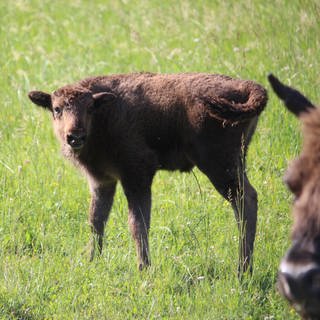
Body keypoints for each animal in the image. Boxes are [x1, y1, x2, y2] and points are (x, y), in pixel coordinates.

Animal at [28, 74, 268, 274]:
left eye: (89, 108)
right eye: (57, 108)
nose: (75, 136)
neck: (105, 116)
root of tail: (246, 86)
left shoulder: (137, 175)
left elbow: (137, 223)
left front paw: (143, 268)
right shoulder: (103, 181)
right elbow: (96, 221)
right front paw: (92, 261)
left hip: (219, 166)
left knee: (245, 200)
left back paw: (242, 271)